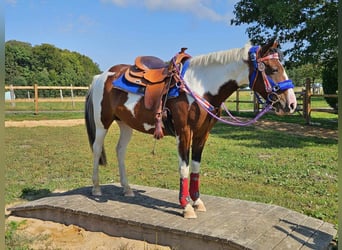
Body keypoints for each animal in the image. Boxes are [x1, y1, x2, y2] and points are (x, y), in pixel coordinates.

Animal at [84, 39, 296, 219]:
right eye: (273, 69)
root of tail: (101, 76)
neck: (201, 87)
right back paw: (96, 188)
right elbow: (184, 168)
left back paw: (127, 189)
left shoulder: (203, 133)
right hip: (102, 123)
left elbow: (195, 167)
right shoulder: (184, 132)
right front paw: (185, 206)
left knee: (120, 150)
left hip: (126, 124)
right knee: (96, 150)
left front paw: (197, 201)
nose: (292, 104)